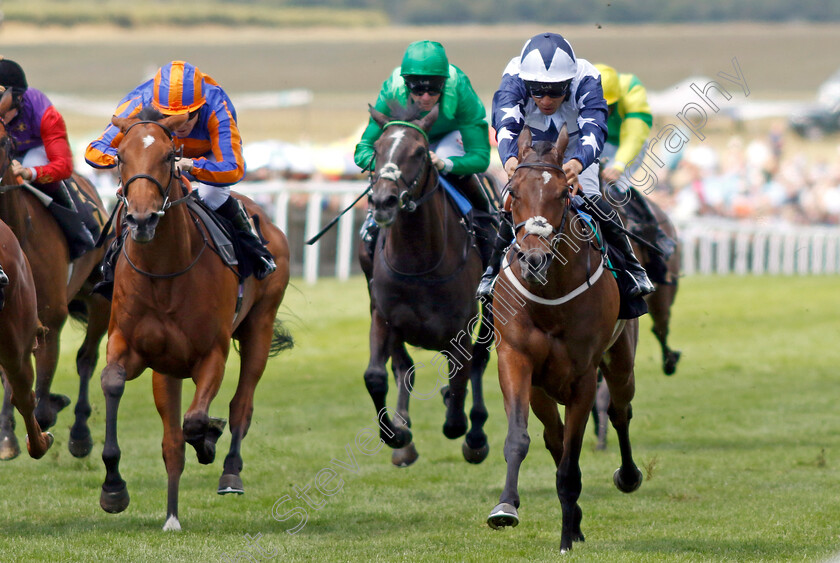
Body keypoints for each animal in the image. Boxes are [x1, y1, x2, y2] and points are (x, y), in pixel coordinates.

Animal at [0, 88, 110, 460]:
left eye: (3, 142)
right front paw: (7, 436)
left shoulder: (49, 318)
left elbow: (42, 401)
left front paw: (53, 407)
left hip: (99, 298)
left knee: (86, 359)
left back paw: (80, 434)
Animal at [97, 112, 292, 532]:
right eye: (120, 156)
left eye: (170, 157)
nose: (141, 219)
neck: (164, 272)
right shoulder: (132, 348)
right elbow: (113, 383)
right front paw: (113, 489)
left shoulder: (211, 354)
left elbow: (197, 418)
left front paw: (207, 438)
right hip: (167, 369)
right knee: (172, 442)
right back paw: (171, 515)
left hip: (260, 326)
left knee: (241, 404)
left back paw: (230, 471)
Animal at [360, 104, 492, 468]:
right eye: (377, 149)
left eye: (420, 152)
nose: (384, 201)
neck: (419, 260)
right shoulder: (384, 316)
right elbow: (377, 376)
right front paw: (396, 434)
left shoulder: (459, 327)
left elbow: (461, 382)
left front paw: (464, 428)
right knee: (404, 367)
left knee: (479, 360)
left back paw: (475, 434)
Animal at [486, 125, 644, 552]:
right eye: (513, 190)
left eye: (562, 192)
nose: (533, 260)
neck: (550, 296)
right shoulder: (515, 359)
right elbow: (519, 439)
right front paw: (506, 507)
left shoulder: (583, 376)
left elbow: (572, 461)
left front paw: (565, 540)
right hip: (542, 389)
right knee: (552, 437)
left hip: (621, 361)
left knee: (620, 410)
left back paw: (627, 476)